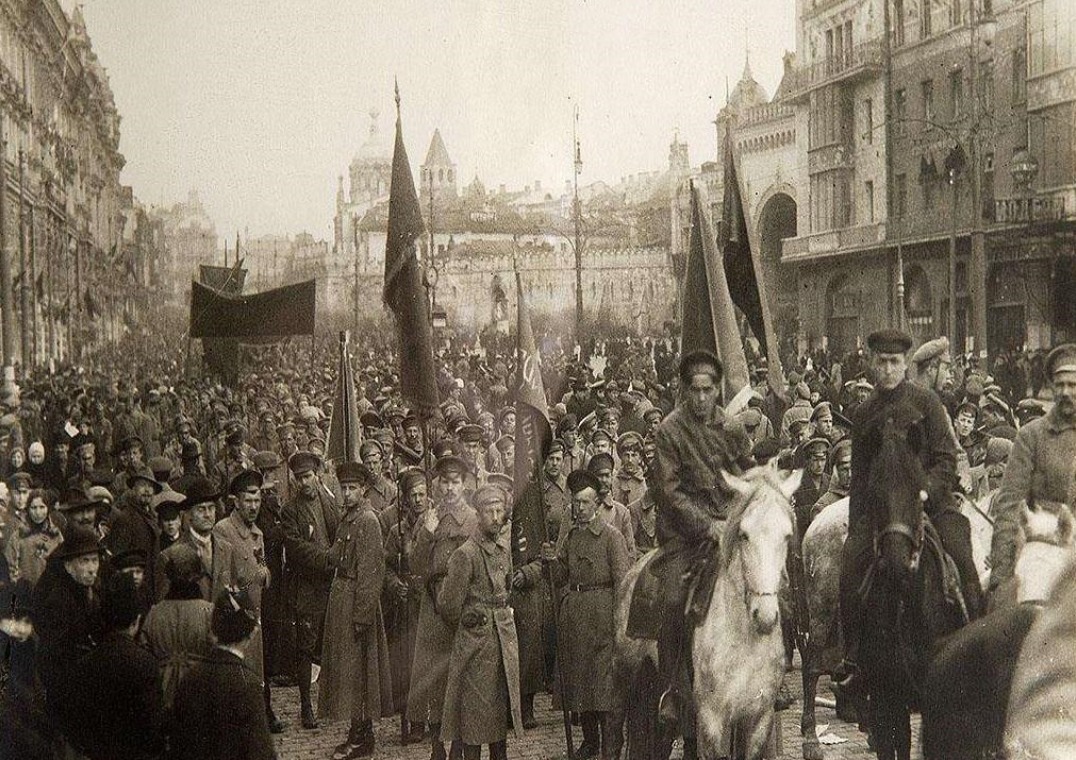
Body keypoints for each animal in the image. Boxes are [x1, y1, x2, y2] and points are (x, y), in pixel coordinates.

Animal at [612, 466, 801, 760]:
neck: (743, 639)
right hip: (623, 676)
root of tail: (634, 571)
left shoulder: (758, 719)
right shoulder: (713, 719)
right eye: (744, 535)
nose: (765, 615)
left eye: (787, 535)